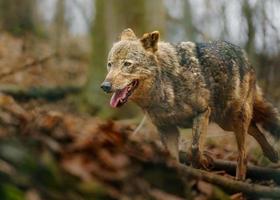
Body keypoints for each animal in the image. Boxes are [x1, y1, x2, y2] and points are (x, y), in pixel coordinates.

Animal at [101, 28, 280, 180]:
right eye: (110, 64)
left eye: (127, 64)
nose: (105, 86)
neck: (166, 86)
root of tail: (242, 53)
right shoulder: (166, 128)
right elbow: (173, 157)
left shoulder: (202, 113)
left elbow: (194, 149)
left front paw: (204, 162)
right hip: (225, 121)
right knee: (255, 128)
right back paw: (272, 154)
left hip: (234, 118)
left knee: (243, 153)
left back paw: (241, 178)